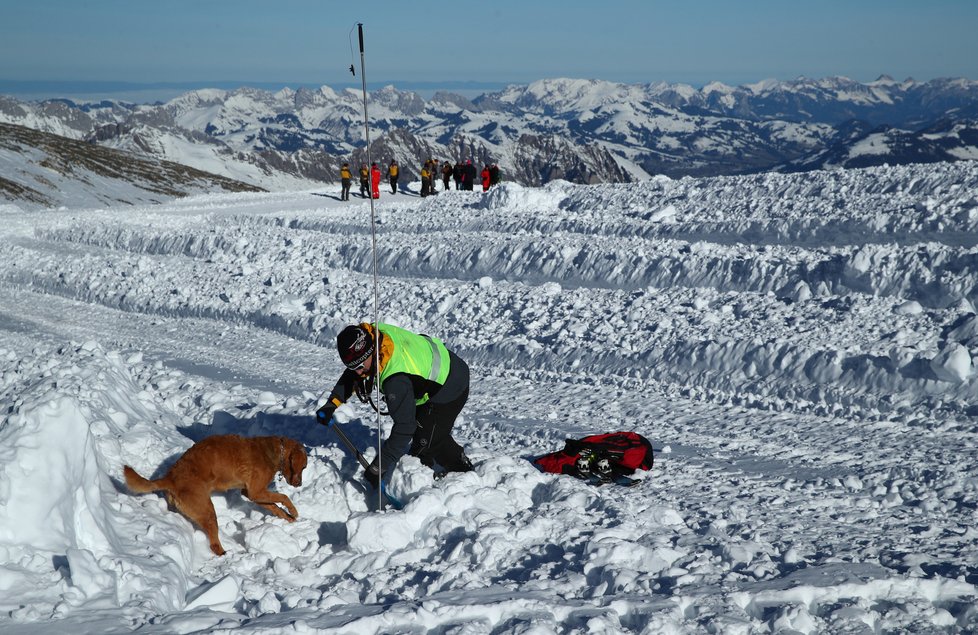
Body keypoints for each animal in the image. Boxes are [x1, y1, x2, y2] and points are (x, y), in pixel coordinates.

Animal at [123, 432, 304, 556]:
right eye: (303, 467)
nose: (300, 484)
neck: (273, 452)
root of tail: (170, 478)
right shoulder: (256, 491)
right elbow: (283, 497)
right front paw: (293, 511)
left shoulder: (251, 493)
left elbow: (275, 507)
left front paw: (288, 518)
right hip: (207, 510)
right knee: (214, 544)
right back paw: (224, 553)